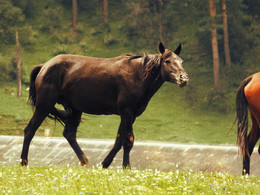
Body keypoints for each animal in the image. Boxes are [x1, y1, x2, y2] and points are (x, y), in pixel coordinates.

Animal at [19, 42, 187, 168]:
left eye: (181, 61)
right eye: (167, 61)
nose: (183, 78)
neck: (138, 74)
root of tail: (44, 66)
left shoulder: (130, 115)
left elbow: (120, 140)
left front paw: (107, 164)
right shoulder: (127, 113)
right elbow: (127, 141)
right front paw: (125, 166)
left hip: (74, 110)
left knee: (69, 134)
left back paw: (85, 162)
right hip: (44, 105)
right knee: (30, 130)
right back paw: (23, 162)